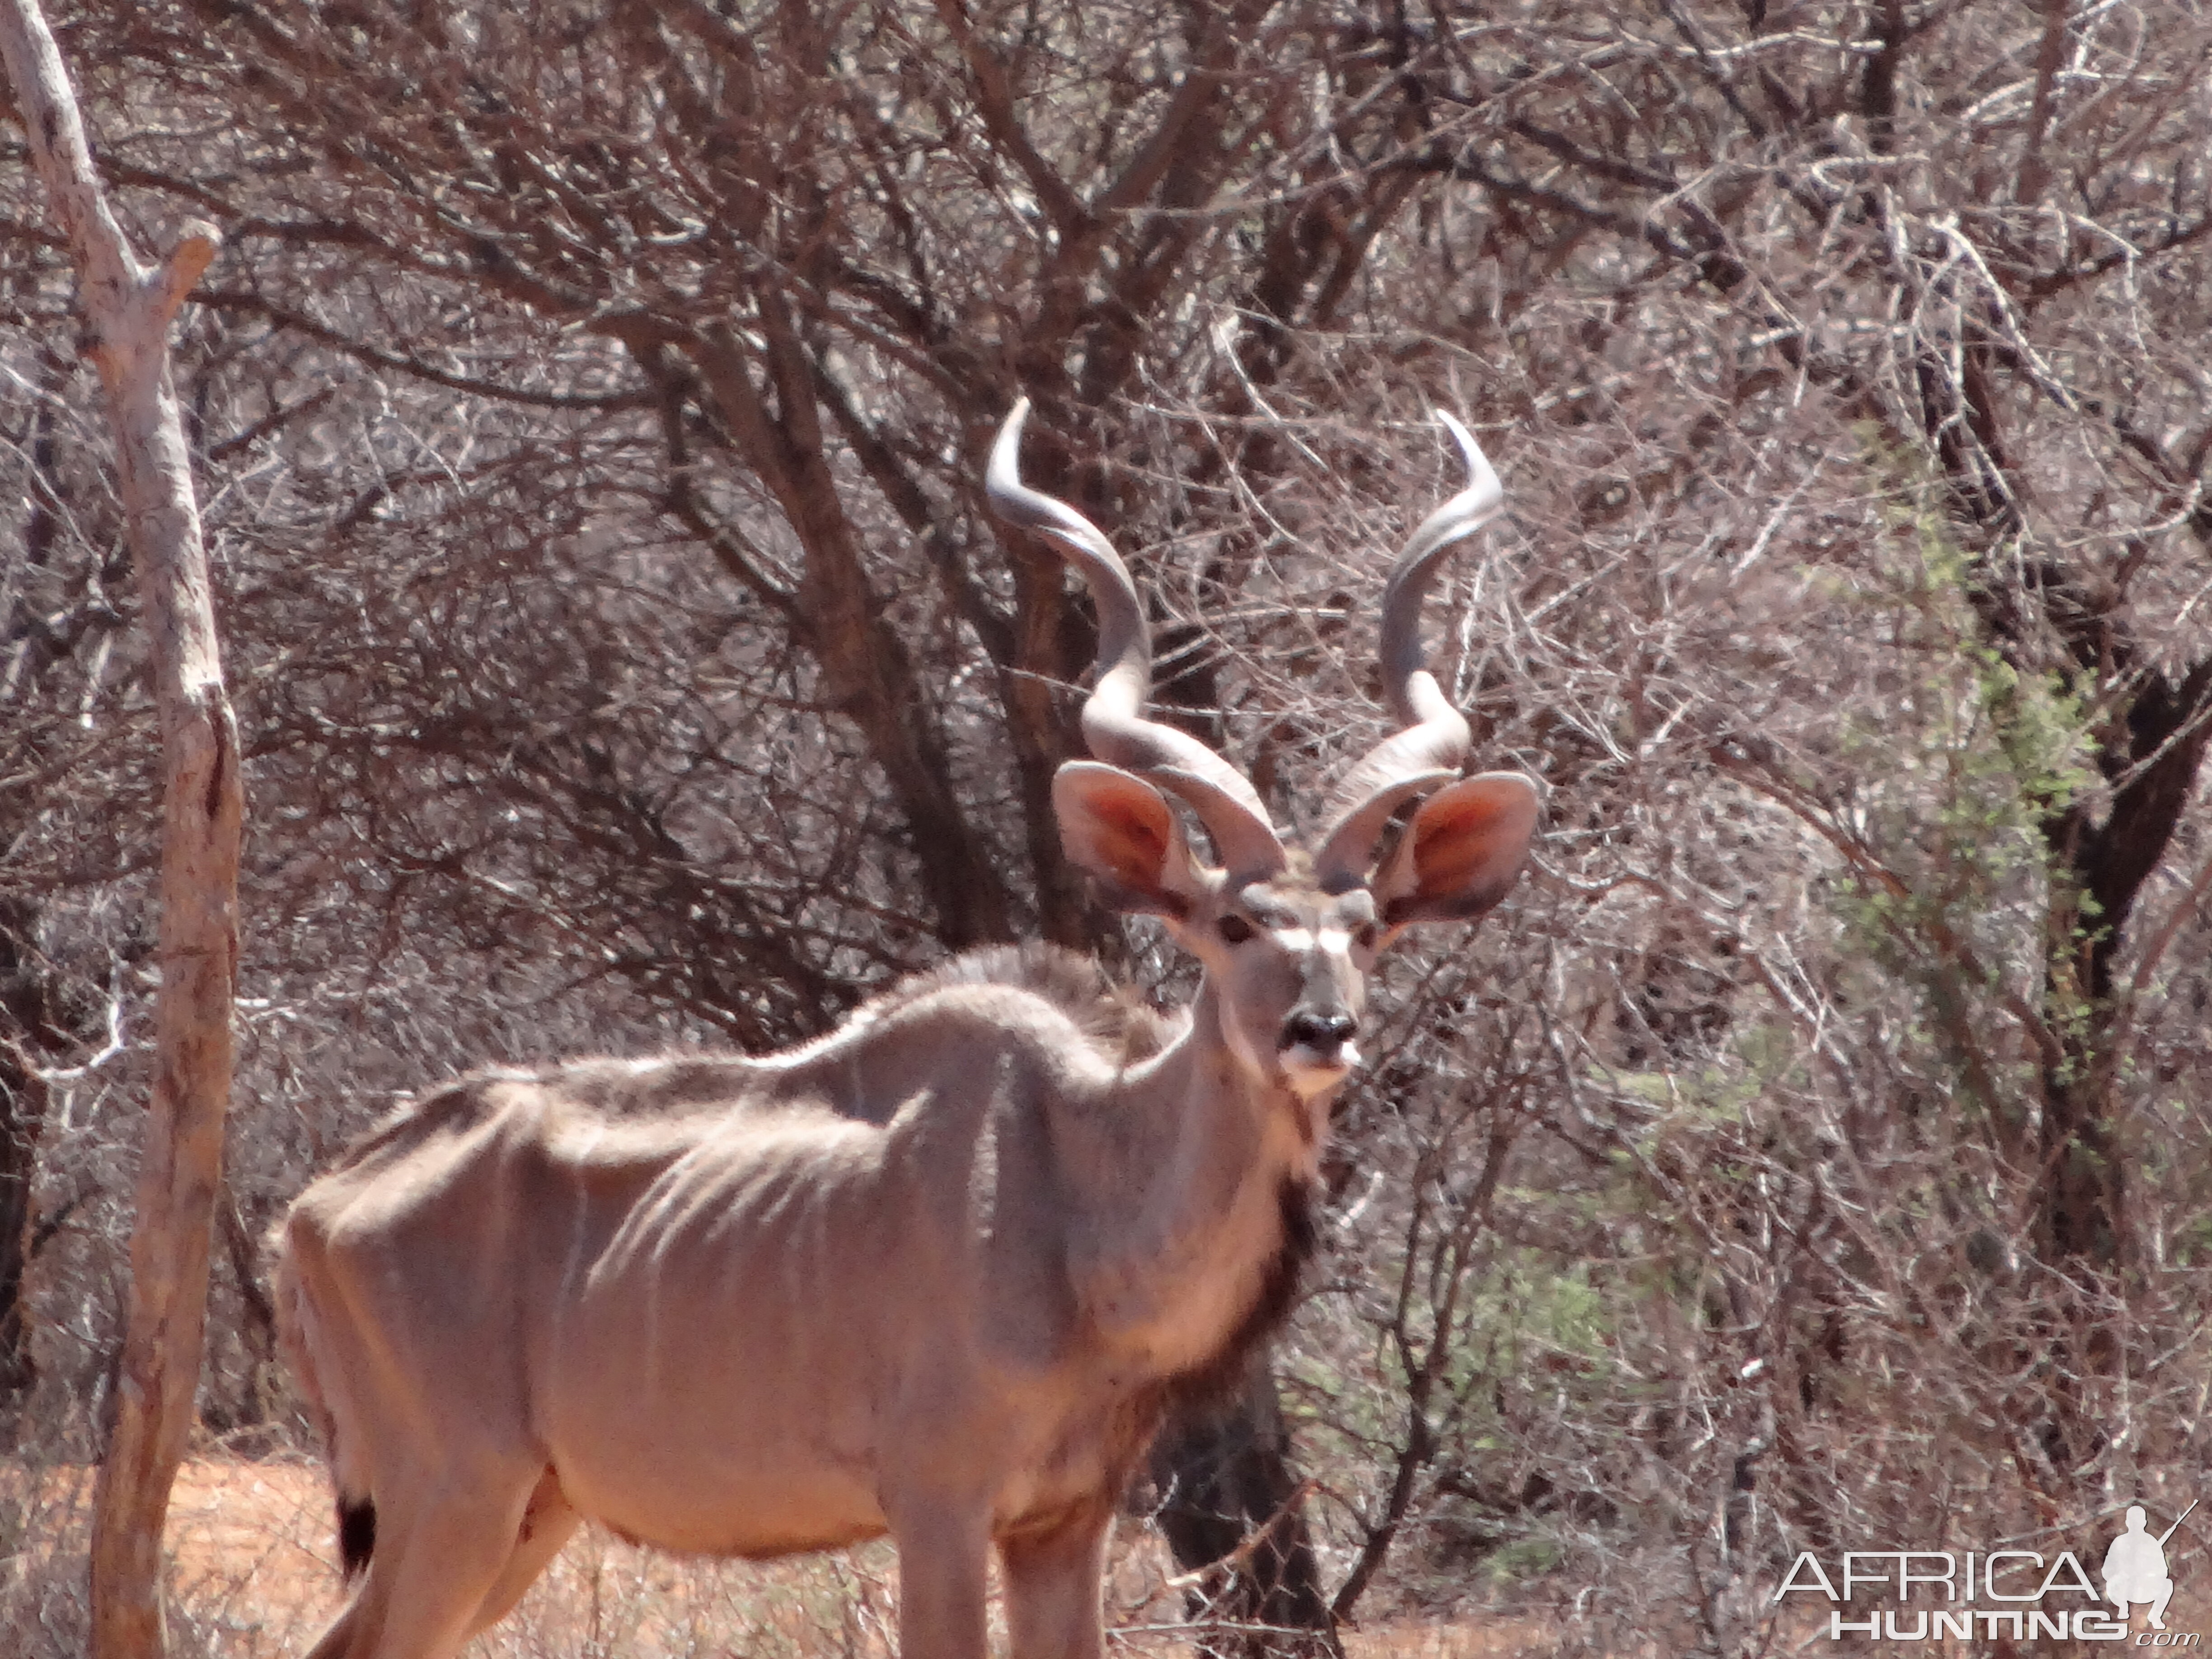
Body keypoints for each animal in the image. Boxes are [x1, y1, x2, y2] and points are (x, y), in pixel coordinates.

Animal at [276, 403, 1539, 1659]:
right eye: (1233, 922)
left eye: (1367, 928)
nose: (1321, 1029)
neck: (1075, 1174)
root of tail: (316, 1207)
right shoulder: (938, 1500)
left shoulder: (1063, 1519)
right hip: (459, 1495)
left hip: (527, 1512)